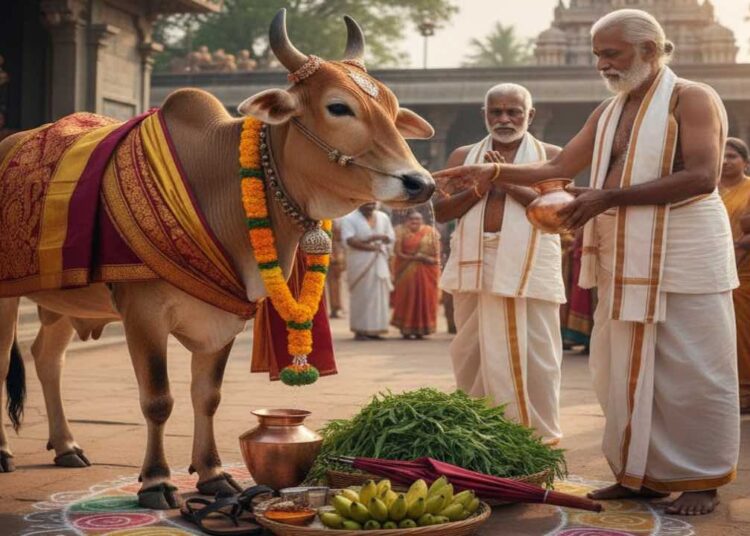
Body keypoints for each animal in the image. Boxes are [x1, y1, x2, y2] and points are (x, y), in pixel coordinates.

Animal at [0, 9, 434, 509]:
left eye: (393, 109)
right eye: (338, 107)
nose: (421, 183)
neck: (220, 183)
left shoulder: (226, 314)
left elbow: (207, 395)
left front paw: (212, 475)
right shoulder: (143, 314)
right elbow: (158, 399)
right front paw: (156, 481)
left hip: (63, 302)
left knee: (47, 358)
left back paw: (67, 445)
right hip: (8, 298)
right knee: (5, 360)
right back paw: (7, 452)